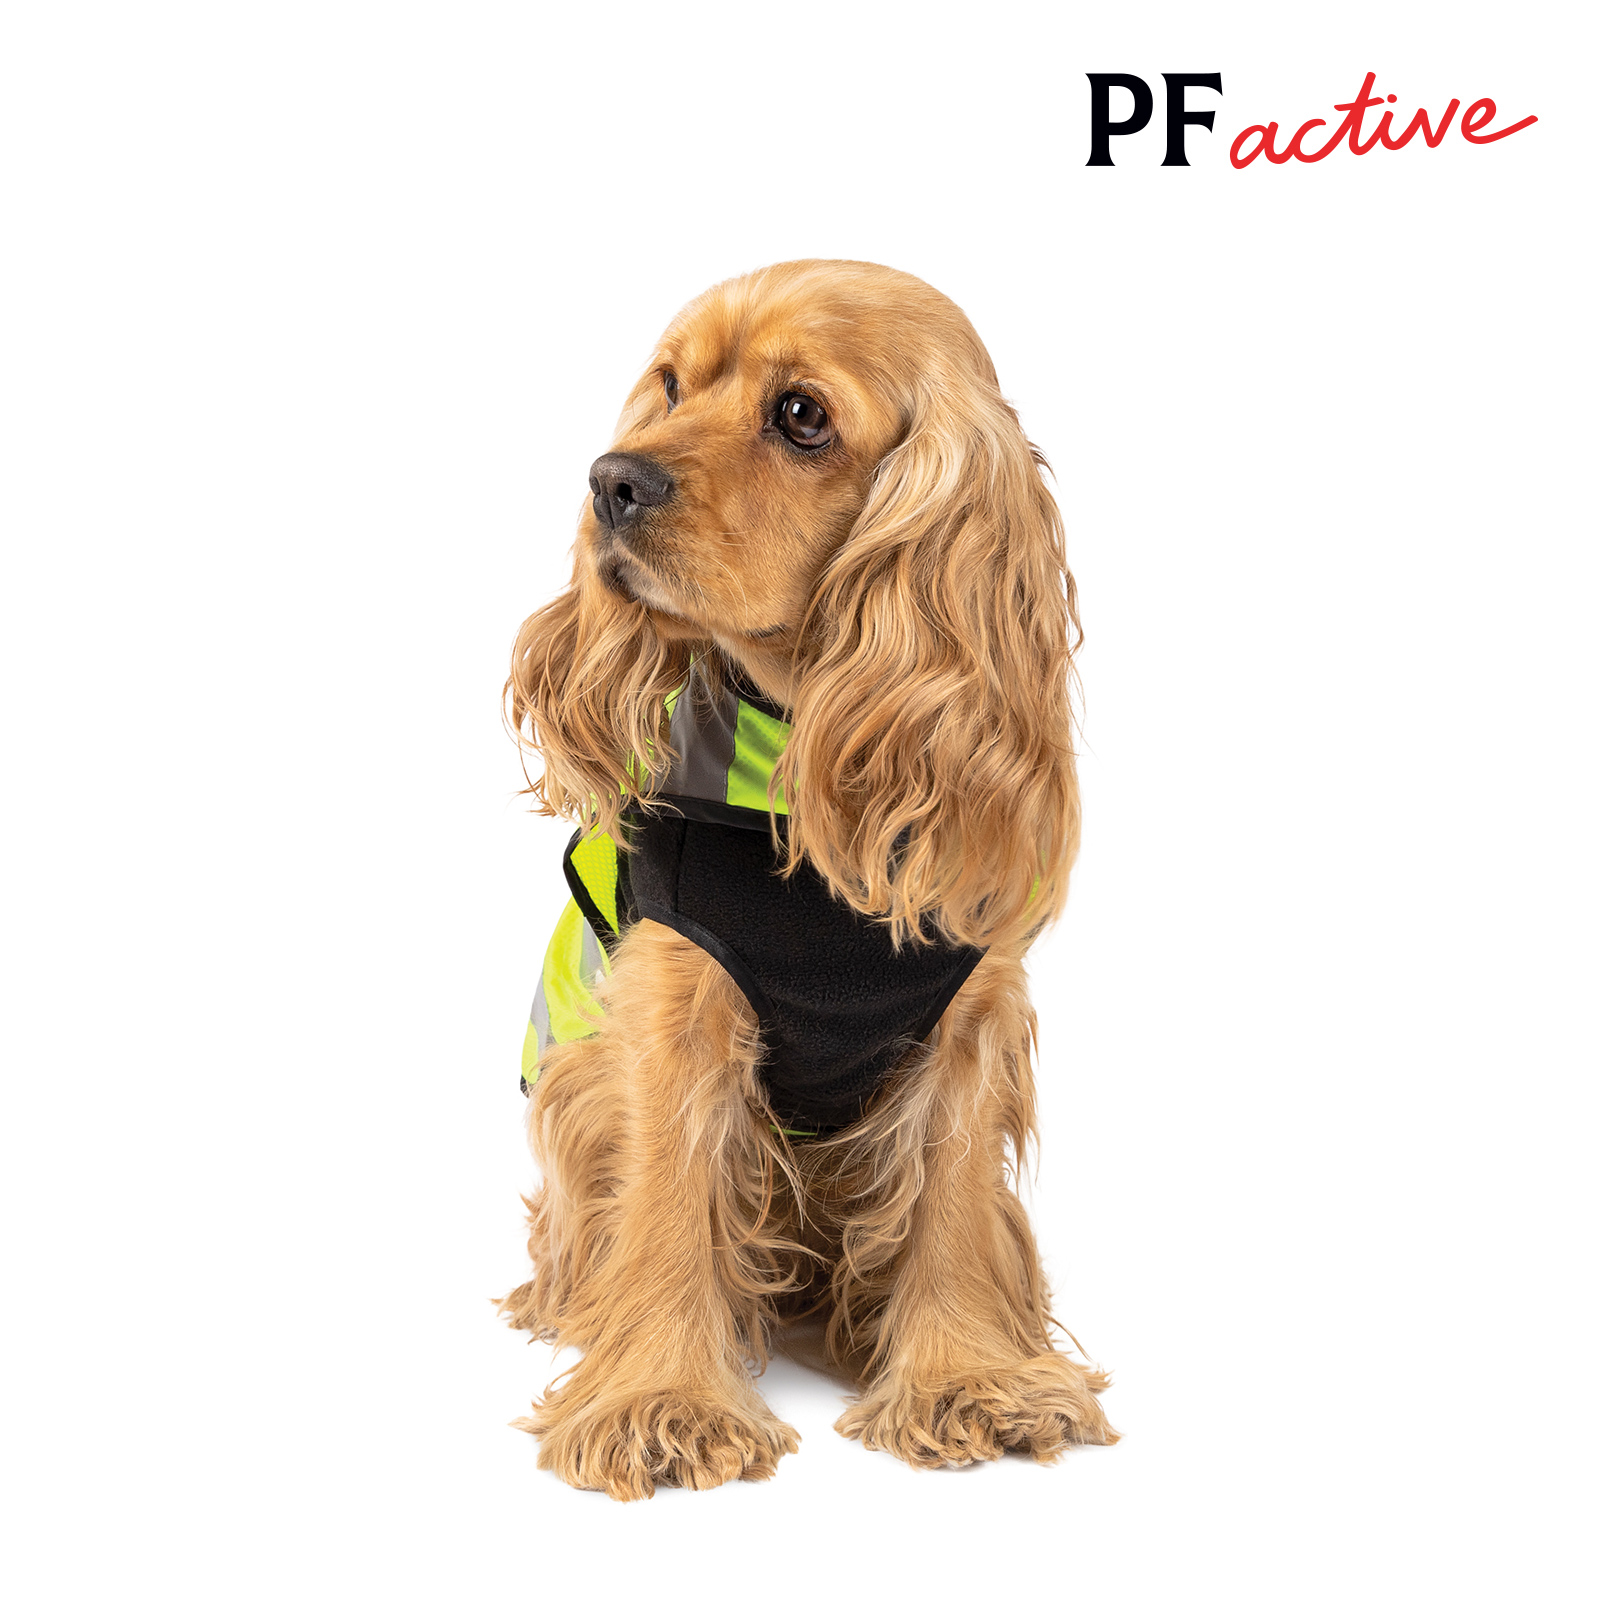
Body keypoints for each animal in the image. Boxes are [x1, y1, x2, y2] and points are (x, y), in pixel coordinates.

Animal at [500, 259, 1116, 1499]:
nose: (610, 480)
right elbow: (668, 1204)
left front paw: (968, 1377)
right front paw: (657, 1401)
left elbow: (954, 1207)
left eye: (801, 415)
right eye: (670, 385)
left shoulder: (969, 1023)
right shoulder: (674, 1001)